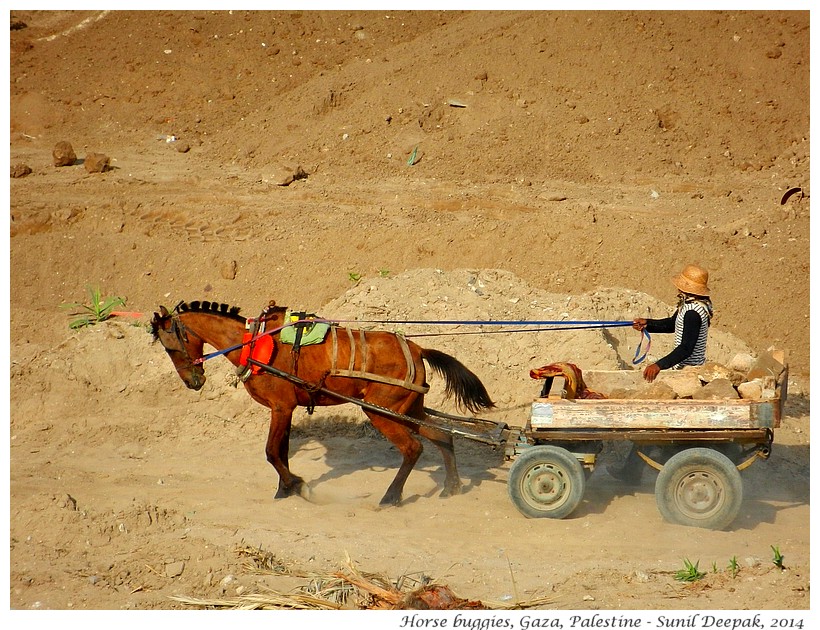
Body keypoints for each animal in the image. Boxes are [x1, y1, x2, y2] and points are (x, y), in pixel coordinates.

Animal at [149, 302, 494, 508]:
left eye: (169, 346)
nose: (193, 381)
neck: (255, 343)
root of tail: (416, 347)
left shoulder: (280, 407)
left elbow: (271, 451)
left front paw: (297, 485)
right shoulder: (286, 409)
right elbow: (283, 451)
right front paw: (284, 489)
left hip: (380, 411)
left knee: (413, 448)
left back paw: (391, 496)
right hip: (409, 409)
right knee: (443, 436)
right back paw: (451, 486)